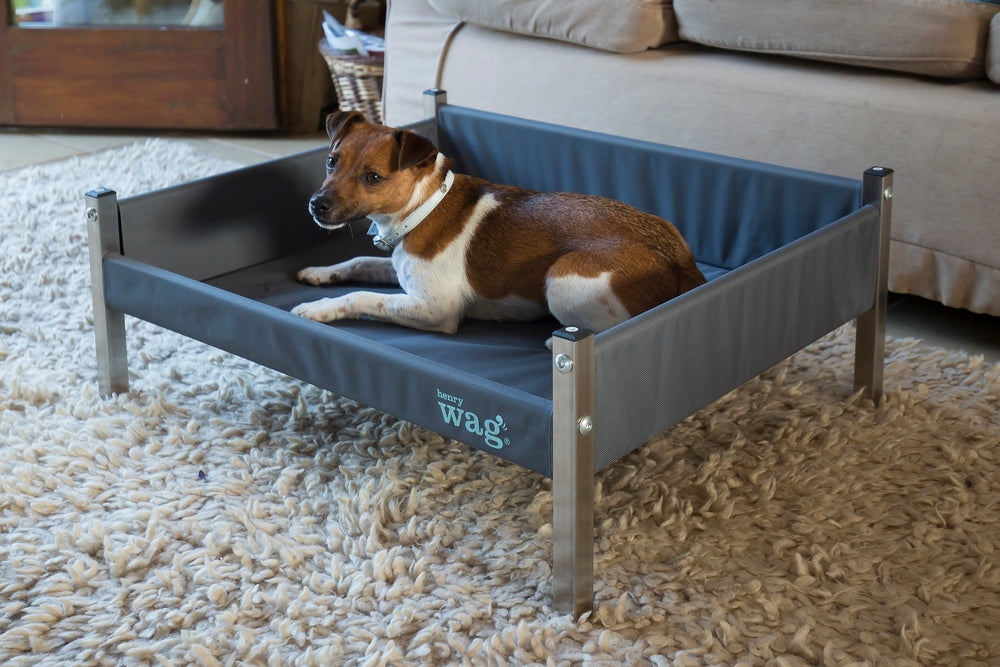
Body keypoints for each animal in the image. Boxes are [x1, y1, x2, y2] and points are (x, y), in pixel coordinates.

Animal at [292, 113, 708, 340]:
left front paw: (319, 308)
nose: (316, 205)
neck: (421, 209)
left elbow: (361, 297)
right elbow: (359, 262)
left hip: (562, 277)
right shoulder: (399, 269)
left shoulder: (435, 308)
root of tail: (683, 262)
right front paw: (320, 272)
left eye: (373, 178)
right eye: (331, 161)